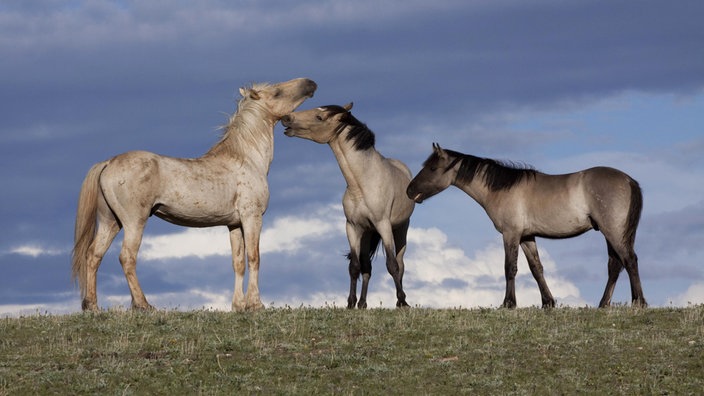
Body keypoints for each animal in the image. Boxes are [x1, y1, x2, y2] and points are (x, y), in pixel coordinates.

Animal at [72, 78, 316, 312]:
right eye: (277, 92)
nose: (310, 83)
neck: (246, 158)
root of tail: (108, 162)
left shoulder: (234, 224)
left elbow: (238, 262)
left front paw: (238, 305)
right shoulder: (252, 218)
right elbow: (254, 258)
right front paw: (256, 304)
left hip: (110, 221)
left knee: (93, 255)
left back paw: (92, 306)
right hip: (134, 222)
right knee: (127, 257)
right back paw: (143, 305)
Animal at [280, 103, 412, 308]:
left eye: (319, 117)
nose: (286, 118)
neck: (362, 183)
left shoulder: (383, 225)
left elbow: (392, 265)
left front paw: (402, 302)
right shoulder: (353, 227)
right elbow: (355, 267)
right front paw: (350, 304)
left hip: (400, 229)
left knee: (400, 263)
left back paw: (400, 300)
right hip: (367, 233)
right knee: (367, 266)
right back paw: (363, 303)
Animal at [404, 144, 648, 308]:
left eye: (432, 168)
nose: (409, 190)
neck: (501, 189)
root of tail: (629, 180)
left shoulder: (510, 234)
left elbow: (509, 267)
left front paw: (508, 303)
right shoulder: (527, 237)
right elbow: (536, 268)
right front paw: (548, 302)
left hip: (613, 231)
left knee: (629, 260)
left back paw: (639, 302)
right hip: (611, 233)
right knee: (615, 265)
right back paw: (603, 304)